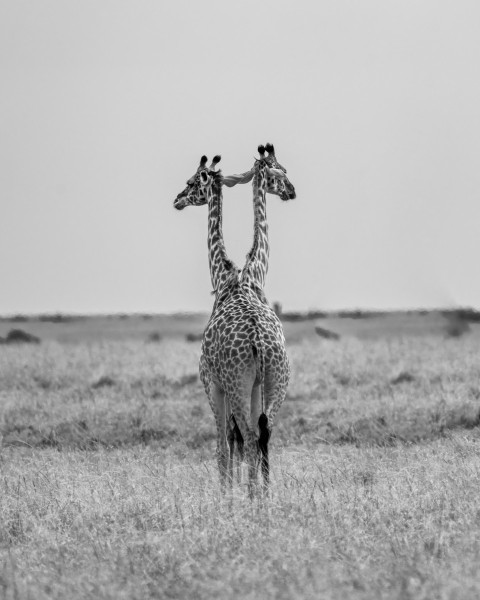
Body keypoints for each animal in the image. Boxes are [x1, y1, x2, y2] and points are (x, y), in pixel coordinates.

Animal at [174, 146, 296, 496]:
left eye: (190, 182)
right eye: (281, 171)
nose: (177, 199)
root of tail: (259, 344)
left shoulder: (211, 381)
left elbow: (224, 445)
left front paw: (226, 496)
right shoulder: (254, 386)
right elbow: (239, 442)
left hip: (237, 384)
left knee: (248, 438)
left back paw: (252, 497)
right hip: (276, 381)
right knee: (264, 434)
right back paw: (263, 496)